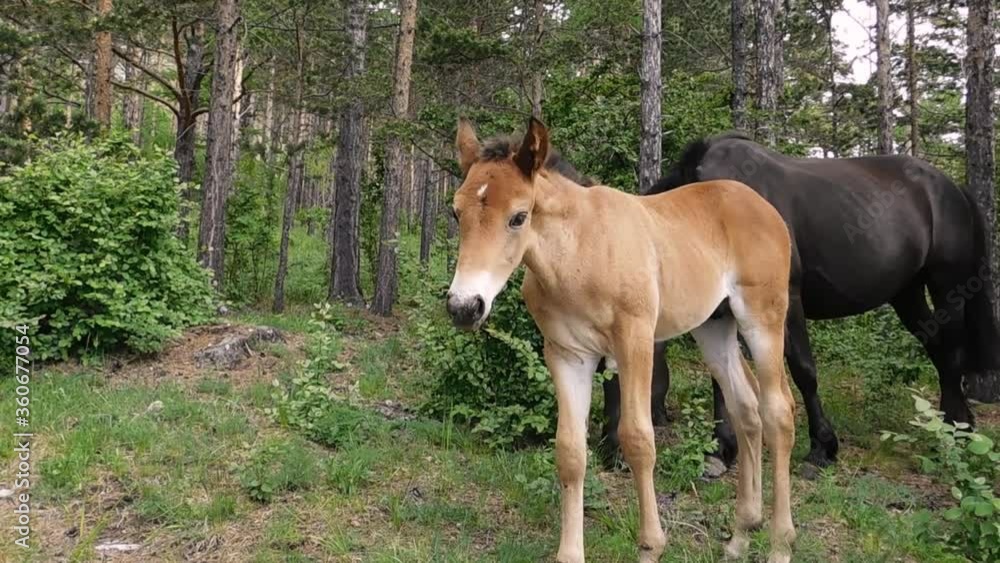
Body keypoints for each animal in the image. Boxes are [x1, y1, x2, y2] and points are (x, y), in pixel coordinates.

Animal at [446, 118, 798, 563]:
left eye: (518, 217)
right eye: (455, 212)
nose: (464, 306)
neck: (580, 253)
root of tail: (765, 209)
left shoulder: (635, 342)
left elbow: (638, 439)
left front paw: (651, 546)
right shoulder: (567, 355)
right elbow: (570, 451)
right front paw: (570, 554)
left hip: (763, 319)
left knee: (778, 412)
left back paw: (780, 544)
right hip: (714, 328)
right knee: (746, 408)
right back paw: (739, 536)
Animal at [602, 133, 1000, 470]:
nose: (610, 454)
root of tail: (951, 186)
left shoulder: (786, 302)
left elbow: (802, 370)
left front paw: (822, 447)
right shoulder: (719, 312)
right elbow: (722, 377)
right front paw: (722, 450)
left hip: (946, 286)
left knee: (951, 352)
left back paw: (958, 429)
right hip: (908, 293)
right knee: (938, 348)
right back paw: (953, 427)